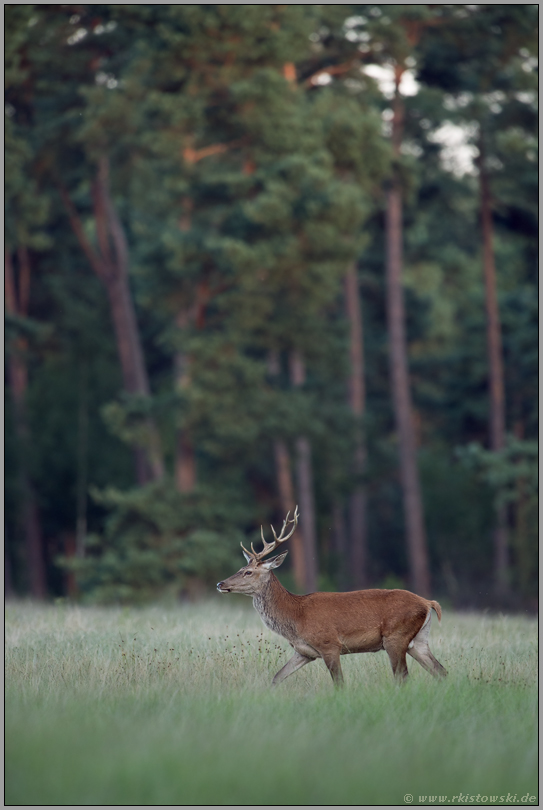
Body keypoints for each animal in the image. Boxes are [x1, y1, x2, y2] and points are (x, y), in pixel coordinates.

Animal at [216, 508, 446, 684]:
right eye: (241, 568)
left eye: (248, 572)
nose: (220, 583)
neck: (295, 617)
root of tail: (428, 602)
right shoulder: (303, 652)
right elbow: (276, 677)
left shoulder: (329, 644)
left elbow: (339, 683)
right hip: (419, 641)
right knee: (441, 671)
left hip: (395, 637)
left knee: (403, 677)